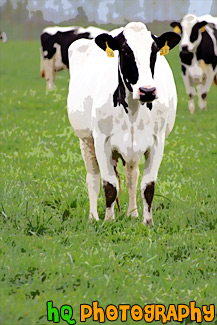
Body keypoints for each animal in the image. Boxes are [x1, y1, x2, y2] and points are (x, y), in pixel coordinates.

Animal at [67, 21, 181, 225]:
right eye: (126, 52)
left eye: (154, 51)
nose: (147, 91)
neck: (133, 112)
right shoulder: (101, 141)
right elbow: (109, 185)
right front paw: (108, 220)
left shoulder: (157, 141)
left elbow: (147, 185)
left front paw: (147, 222)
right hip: (85, 141)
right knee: (93, 179)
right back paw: (93, 217)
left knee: (131, 177)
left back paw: (132, 213)